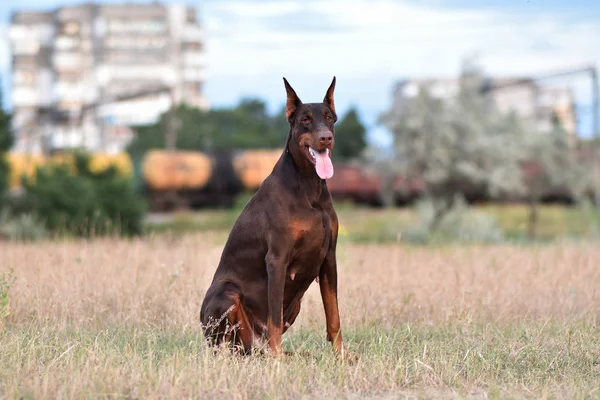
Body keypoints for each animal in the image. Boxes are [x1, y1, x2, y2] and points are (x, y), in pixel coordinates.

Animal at [200, 76, 352, 360]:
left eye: (330, 118)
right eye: (305, 120)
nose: (325, 137)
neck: (309, 186)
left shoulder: (329, 258)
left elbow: (333, 315)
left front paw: (342, 356)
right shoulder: (277, 260)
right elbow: (274, 318)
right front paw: (279, 359)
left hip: (295, 305)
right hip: (226, 294)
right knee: (228, 345)